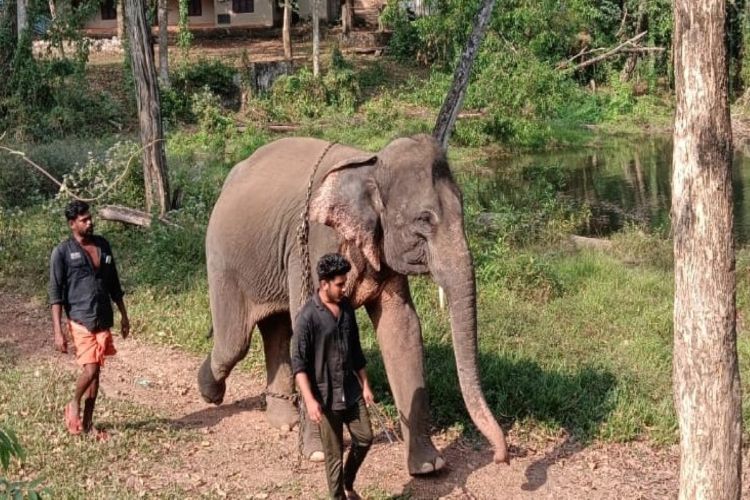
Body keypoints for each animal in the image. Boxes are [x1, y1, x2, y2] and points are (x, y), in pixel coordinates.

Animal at [197, 134, 508, 474]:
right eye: (424, 219)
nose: (500, 456)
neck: (371, 165)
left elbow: (402, 328)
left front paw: (429, 466)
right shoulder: (313, 244)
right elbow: (309, 324)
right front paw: (317, 454)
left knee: (275, 329)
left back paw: (283, 423)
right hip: (223, 255)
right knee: (235, 342)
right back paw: (210, 393)